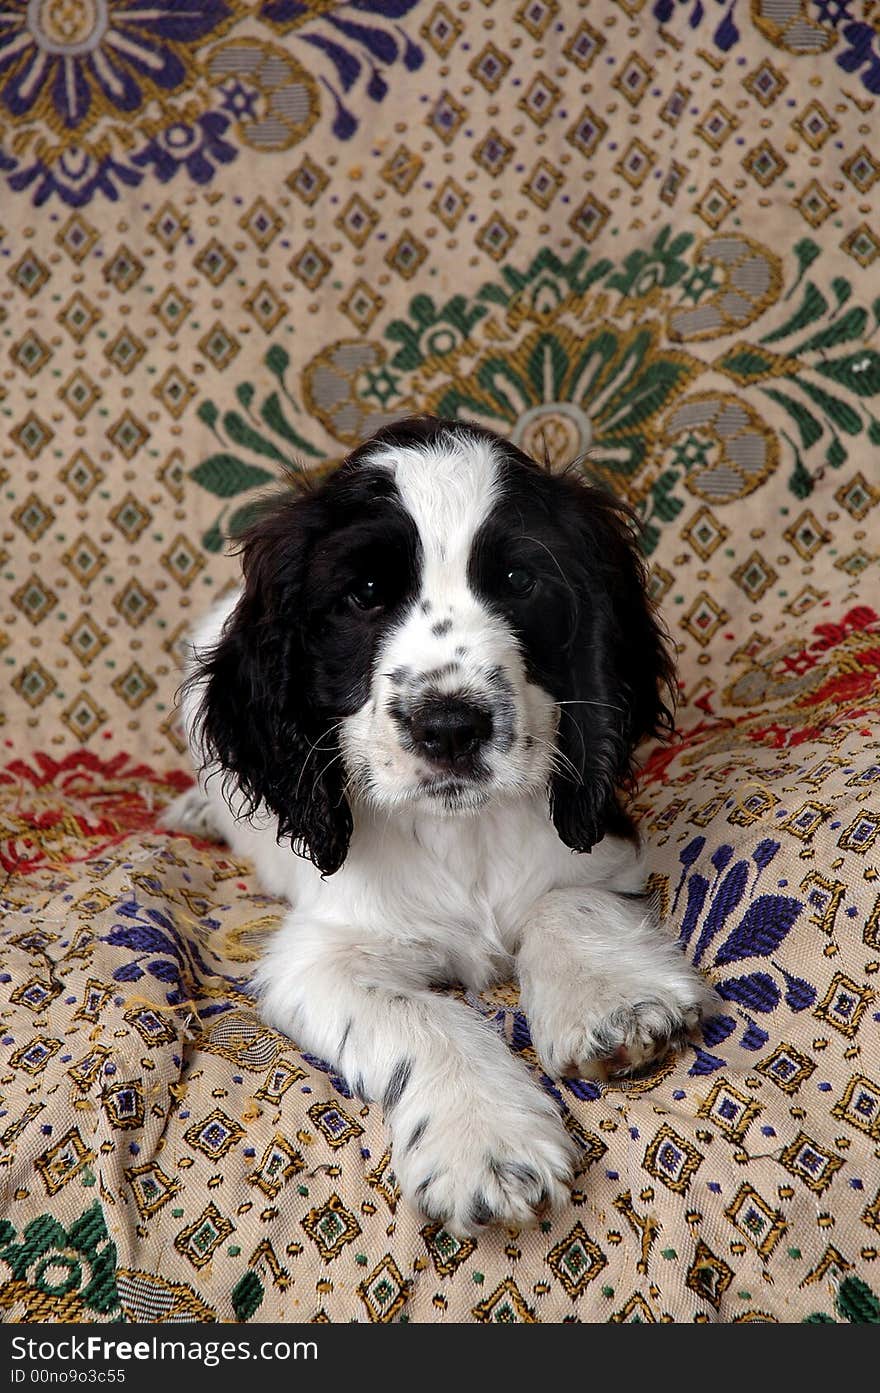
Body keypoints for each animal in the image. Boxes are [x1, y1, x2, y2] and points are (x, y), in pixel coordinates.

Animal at [166, 409, 712, 1231]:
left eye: (519, 581)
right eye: (363, 594)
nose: (450, 727)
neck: (462, 835)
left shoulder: (598, 848)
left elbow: (566, 902)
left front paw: (610, 1003)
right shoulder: (321, 951)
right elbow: (419, 1018)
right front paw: (484, 1141)